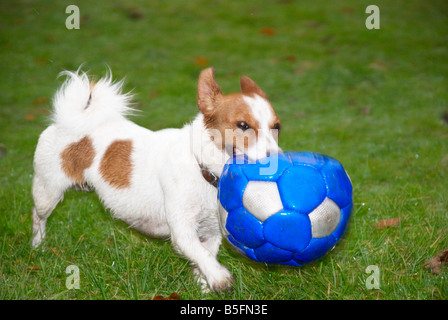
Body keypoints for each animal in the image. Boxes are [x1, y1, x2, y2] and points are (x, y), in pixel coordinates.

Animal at [31, 67, 282, 292]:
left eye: (277, 127)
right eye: (243, 125)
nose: (278, 158)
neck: (202, 168)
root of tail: (68, 122)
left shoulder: (211, 233)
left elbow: (206, 256)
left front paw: (204, 283)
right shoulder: (182, 231)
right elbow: (201, 254)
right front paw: (220, 278)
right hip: (47, 193)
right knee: (38, 216)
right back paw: (37, 245)